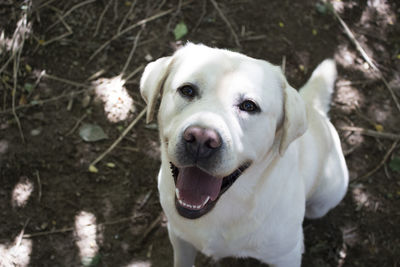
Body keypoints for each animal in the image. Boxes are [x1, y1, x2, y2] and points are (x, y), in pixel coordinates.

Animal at [139, 44, 348, 267]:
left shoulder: (286, 257)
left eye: (249, 106)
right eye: (187, 90)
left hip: (324, 199)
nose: (201, 139)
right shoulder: (179, 237)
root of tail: (315, 111)